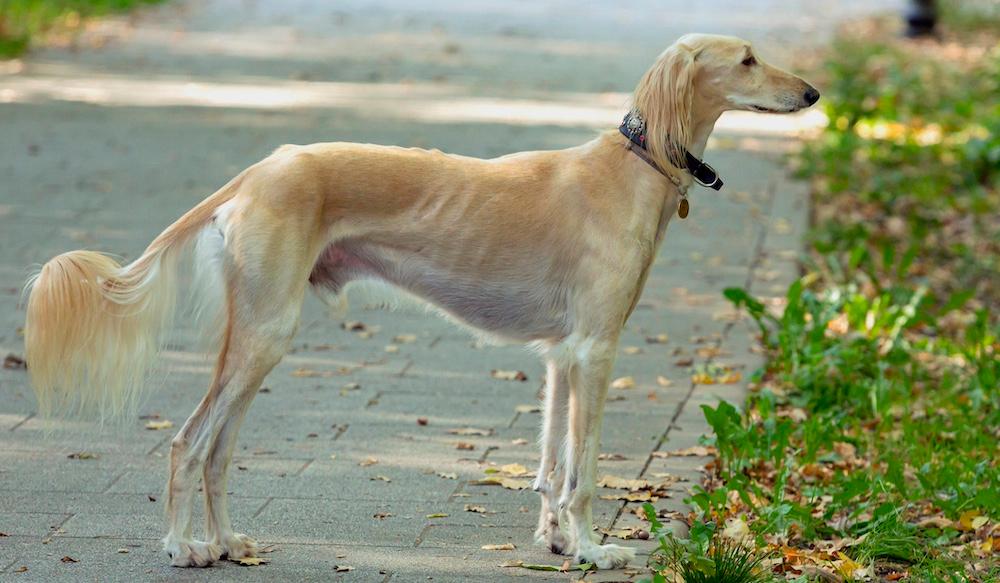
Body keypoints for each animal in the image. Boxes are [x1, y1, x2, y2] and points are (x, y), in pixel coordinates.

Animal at [25, 33, 820, 572]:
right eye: (747, 59)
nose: (813, 93)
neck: (633, 167)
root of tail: (259, 170)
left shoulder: (563, 355)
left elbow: (552, 464)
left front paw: (558, 540)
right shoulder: (597, 349)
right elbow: (585, 470)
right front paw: (596, 547)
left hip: (258, 333)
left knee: (219, 447)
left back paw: (223, 542)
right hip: (264, 331)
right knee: (190, 440)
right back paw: (180, 544)